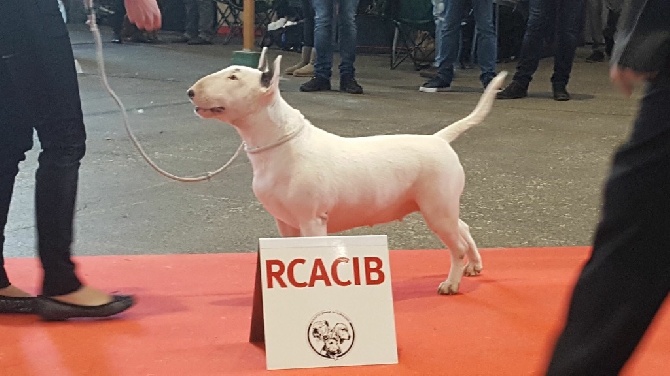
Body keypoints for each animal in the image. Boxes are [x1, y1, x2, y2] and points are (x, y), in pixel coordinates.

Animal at [186, 50, 506, 296]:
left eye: (234, 77)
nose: (190, 92)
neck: (281, 142)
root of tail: (439, 139)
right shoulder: (285, 222)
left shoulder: (313, 220)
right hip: (440, 205)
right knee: (464, 228)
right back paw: (474, 265)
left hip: (436, 208)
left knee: (456, 245)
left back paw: (452, 283)